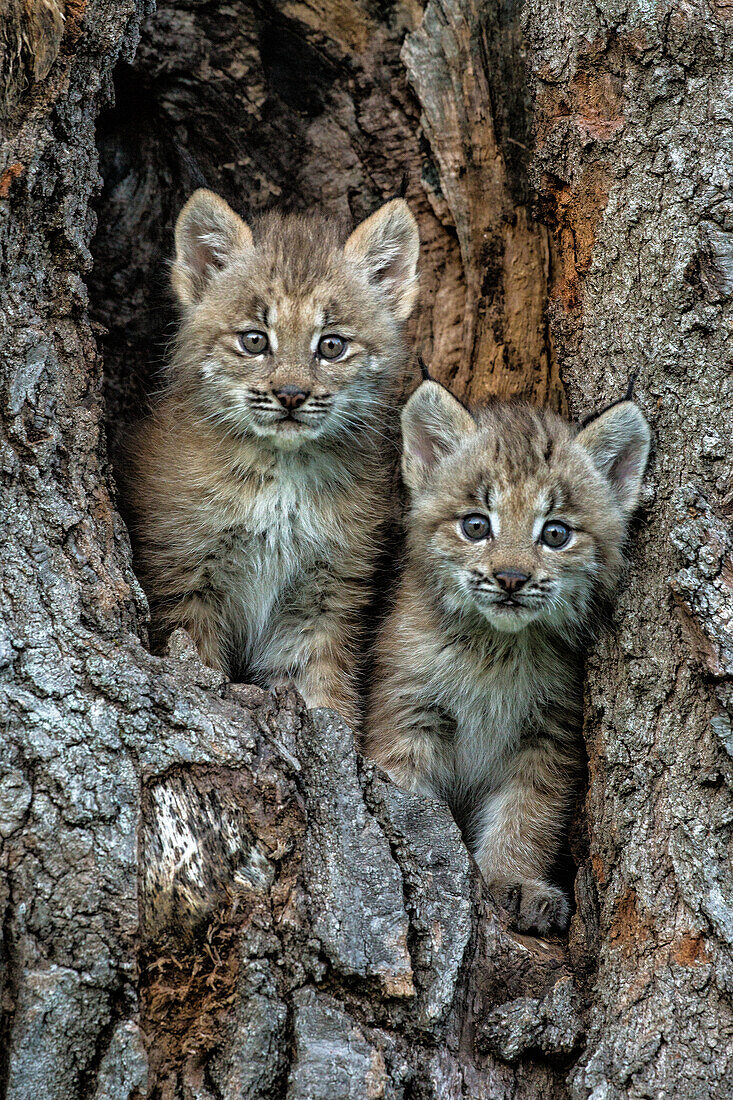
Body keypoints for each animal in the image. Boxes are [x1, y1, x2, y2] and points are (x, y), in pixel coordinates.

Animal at [129, 190, 420, 726]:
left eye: (332, 345)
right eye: (254, 340)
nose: (289, 395)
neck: (283, 474)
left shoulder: (326, 592)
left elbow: (319, 682)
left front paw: (335, 730)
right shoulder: (183, 574)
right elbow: (197, 659)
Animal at [363, 382, 647, 932]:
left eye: (555, 533)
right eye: (476, 526)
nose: (512, 579)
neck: (496, 648)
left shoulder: (550, 733)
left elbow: (528, 813)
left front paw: (513, 881)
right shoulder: (408, 708)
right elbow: (404, 791)